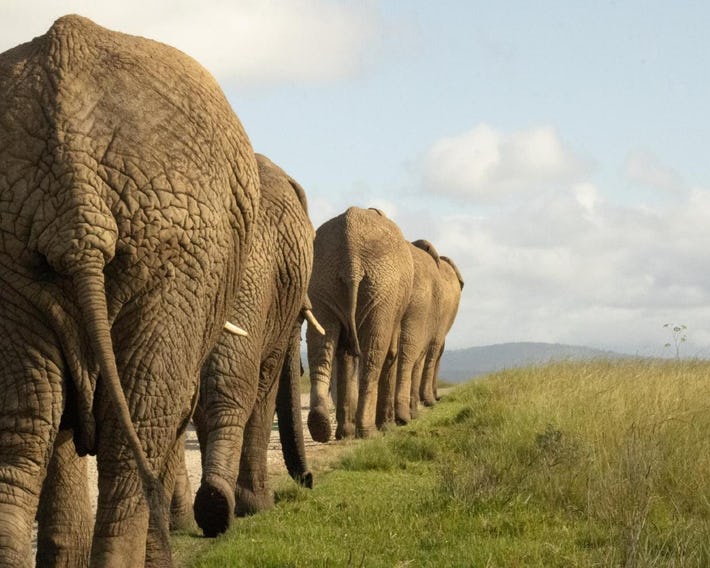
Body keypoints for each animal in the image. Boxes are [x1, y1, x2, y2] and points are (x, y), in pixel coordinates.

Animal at [184, 154, 318, 538]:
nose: (309, 479)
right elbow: (264, 389)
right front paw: (258, 507)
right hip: (249, 277)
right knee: (233, 385)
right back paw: (219, 508)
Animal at [307, 207, 413, 442]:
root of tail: (351, 260)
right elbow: (391, 353)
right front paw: (387, 427)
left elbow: (344, 354)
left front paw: (345, 433)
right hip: (382, 288)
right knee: (374, 354)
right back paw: (367, 432)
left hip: (322, 278)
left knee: (321, 345)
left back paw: (321, 427)